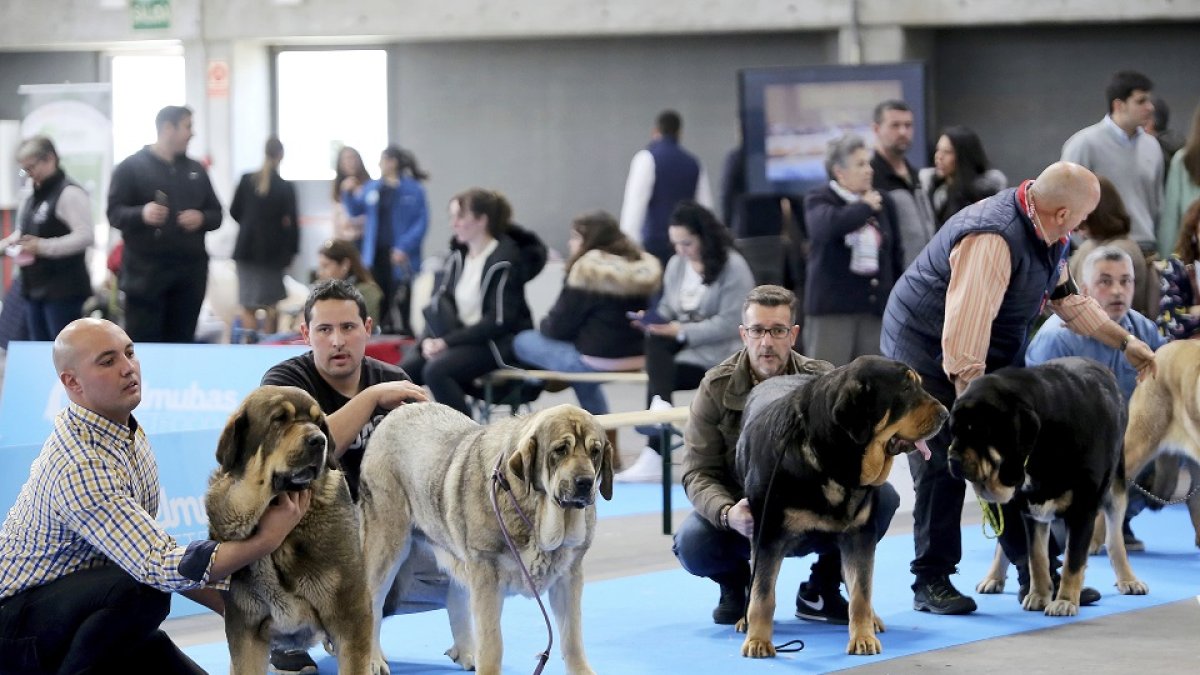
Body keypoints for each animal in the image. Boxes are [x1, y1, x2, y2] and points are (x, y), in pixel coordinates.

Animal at [729, 355, 945, 653]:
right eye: (905, 389)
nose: (946, 413)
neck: (835, 459)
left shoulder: (860, 535)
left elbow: (861, 593)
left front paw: (863, 636)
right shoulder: (767, 536)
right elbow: (762, 594)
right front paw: (758, 641)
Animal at [945, 357, 1152, 614]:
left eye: (977, 432)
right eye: (953, 431)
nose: (952, 458)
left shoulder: (1083, 509)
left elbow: (1073, 560)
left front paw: (1064, 600)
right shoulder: (1030, 509)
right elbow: (1037, 558)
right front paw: (1039, 595)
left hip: (1116, 488)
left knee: (1114, 540)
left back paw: (1128, 579)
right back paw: (994, 577)